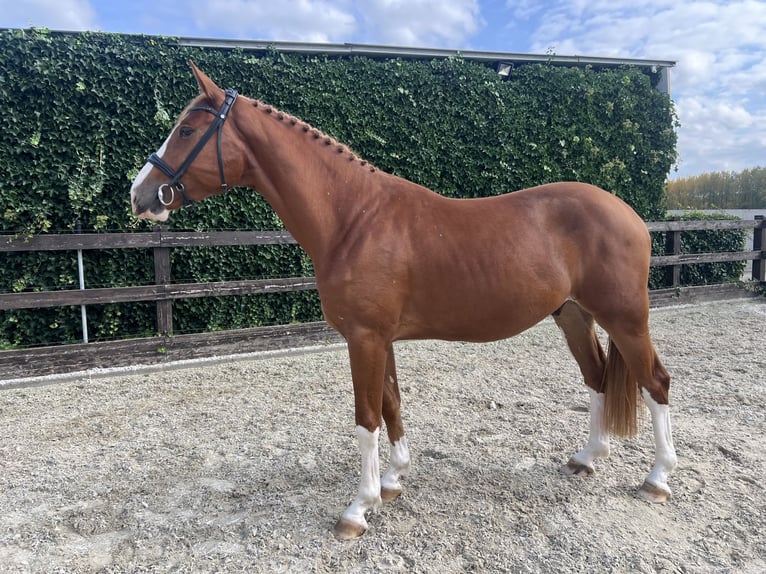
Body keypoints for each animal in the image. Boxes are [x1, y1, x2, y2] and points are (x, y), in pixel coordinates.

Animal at [130, 63, 677, 539]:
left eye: (185, 131)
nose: (140, 195)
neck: (353, 218)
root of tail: (628, 212)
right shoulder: (381, 338)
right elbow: (391, 404)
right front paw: (392, 482)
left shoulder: (364, 338)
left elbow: (366, 416)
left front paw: (358, 507)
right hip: (574, 317)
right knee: (597, 378)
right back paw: (587, 458)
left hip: (625, 318)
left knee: (655, 382)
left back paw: (657, 479)